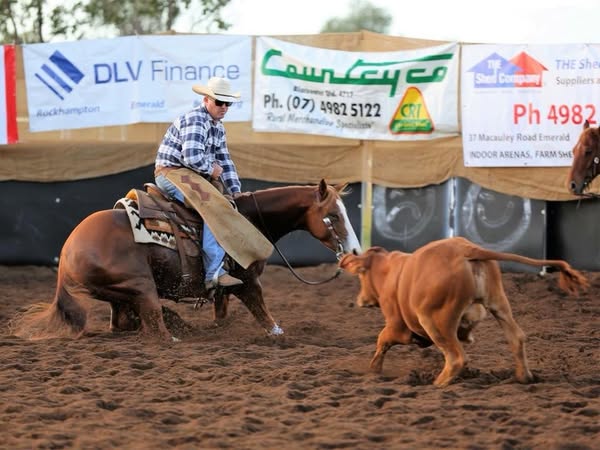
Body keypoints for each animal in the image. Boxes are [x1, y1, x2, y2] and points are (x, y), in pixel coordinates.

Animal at [11, 179, 362, 342]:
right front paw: (278, 334)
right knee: (155, 327)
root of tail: (67, 256)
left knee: (121, 322)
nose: (355, 252)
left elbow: (222, 314)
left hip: (118, 295)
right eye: (332, 216)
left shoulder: (225, 288)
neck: (248, 221)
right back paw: (175, 331)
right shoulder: (249, 283)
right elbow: (267, 320)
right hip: (141, 286)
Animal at [339, 237, 589, 387]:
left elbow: (382, 340)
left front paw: (373, 371)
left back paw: (438, 383)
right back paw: (523, 377)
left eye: (361, 275)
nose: (361, 300)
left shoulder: (396, 326)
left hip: (434, 320)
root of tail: (466, 250)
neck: (389, 270)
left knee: (456, 357)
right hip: (498, 302)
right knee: (516, 338)